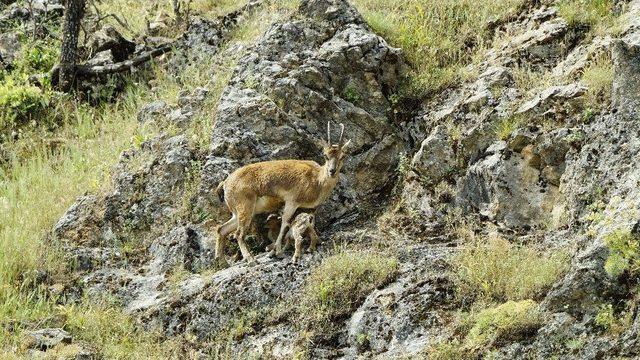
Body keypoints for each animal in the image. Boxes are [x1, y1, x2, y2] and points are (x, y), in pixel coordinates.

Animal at [214, 122, 350, 266]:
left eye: (343, 156)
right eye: (325, 155)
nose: (332, 171)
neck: (317, 179)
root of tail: (226, 183)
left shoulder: (310, 209)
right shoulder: (292, 202)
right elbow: (285, 223)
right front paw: (277, 251)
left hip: (237, 213)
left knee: (221, 229)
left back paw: (222, 261)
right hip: (245, 208)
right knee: (238, 233)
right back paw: (250, 259)